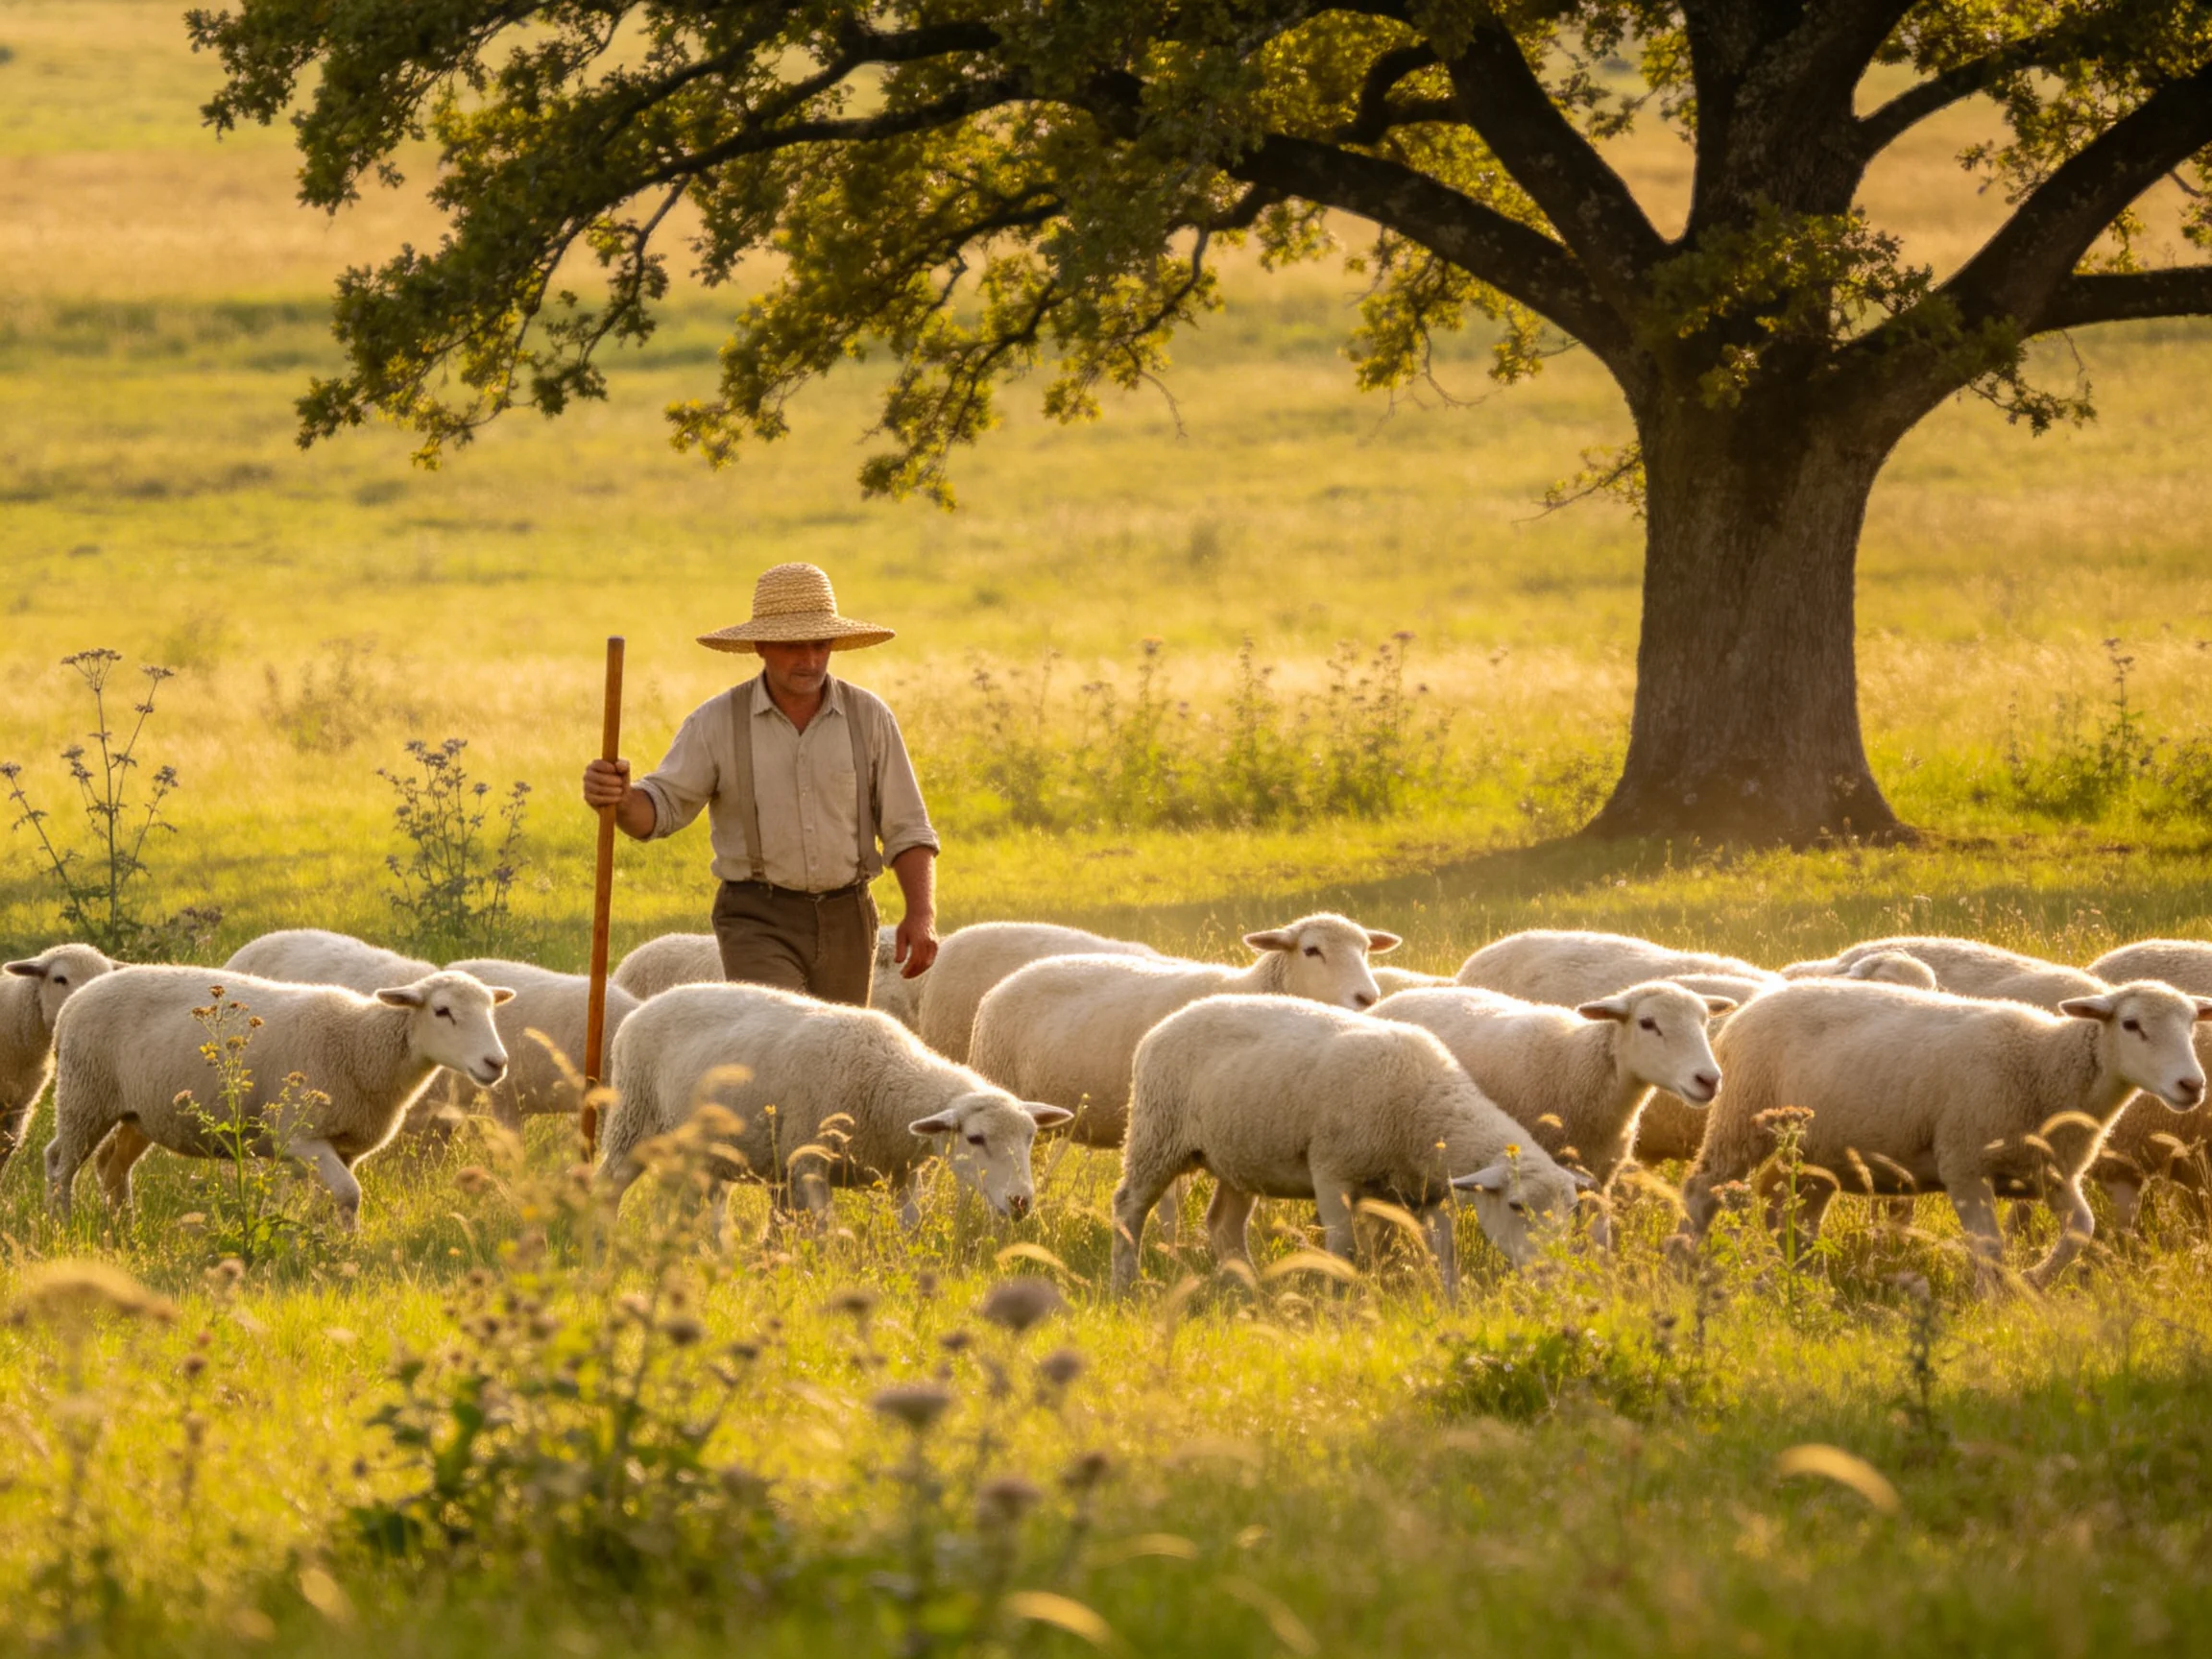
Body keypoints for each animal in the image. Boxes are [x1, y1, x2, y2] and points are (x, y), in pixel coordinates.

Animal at [45, 966, 513, 1230]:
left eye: (492, 1011)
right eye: (442, 1011)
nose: (496, 1062)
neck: (360, 1045)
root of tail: (71, 1005)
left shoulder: (344, 1146)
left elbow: (330, 1198)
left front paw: (324, 1243)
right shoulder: (300, 1137)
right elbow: (349, 1194)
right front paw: (346, 1248)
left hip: (136, 1111)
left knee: (111, 1167)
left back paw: (122, 1228)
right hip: (84, 1094)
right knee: (60, 1163)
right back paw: (62, 1225)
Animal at [597, 982, 1073, 1237]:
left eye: (1031, 1137)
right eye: (975, 1138)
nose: (1020, 1202)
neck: (887, 1081)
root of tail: (646, 1006)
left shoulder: (904, 1176)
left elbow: (909, 1229)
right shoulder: (809, 1161)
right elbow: (827, 1233)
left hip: (700, 1151)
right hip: (632, 1122)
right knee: (607, 1188)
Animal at [1110, 996, 1587, 1296]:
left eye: (1571, 1209)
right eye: (1516, 1206)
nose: (1552, 1273)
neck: (1423, 1106)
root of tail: (1161, 1027)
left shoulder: (1427, 1194)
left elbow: (1444, 1252)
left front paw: (1449, 1302)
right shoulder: (1331, 1172)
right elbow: (1345, 1249)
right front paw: (1340, 1302)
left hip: (1238, 1154)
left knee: (1223, 1223)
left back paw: (1248, 1288)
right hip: (1156, 1135)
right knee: (1128, 1206)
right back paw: (1126, 1283)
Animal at [1677, 978, 2212, 1289]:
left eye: (2191, 1024)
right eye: (2131, 1024)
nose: (2192, 1085)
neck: (2045, 1065)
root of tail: (1749, 1007)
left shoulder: (2050, 1171)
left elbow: (2082, 1228)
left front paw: (2034, 1279)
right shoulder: (1966, 1165)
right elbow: (1989, 1248)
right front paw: (1994, 1301)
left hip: (1818, 1152)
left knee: (1791, 1212)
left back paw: (1806, 1278)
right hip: (1741, 1117)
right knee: (1702, 1190)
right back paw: (1679, 1264)